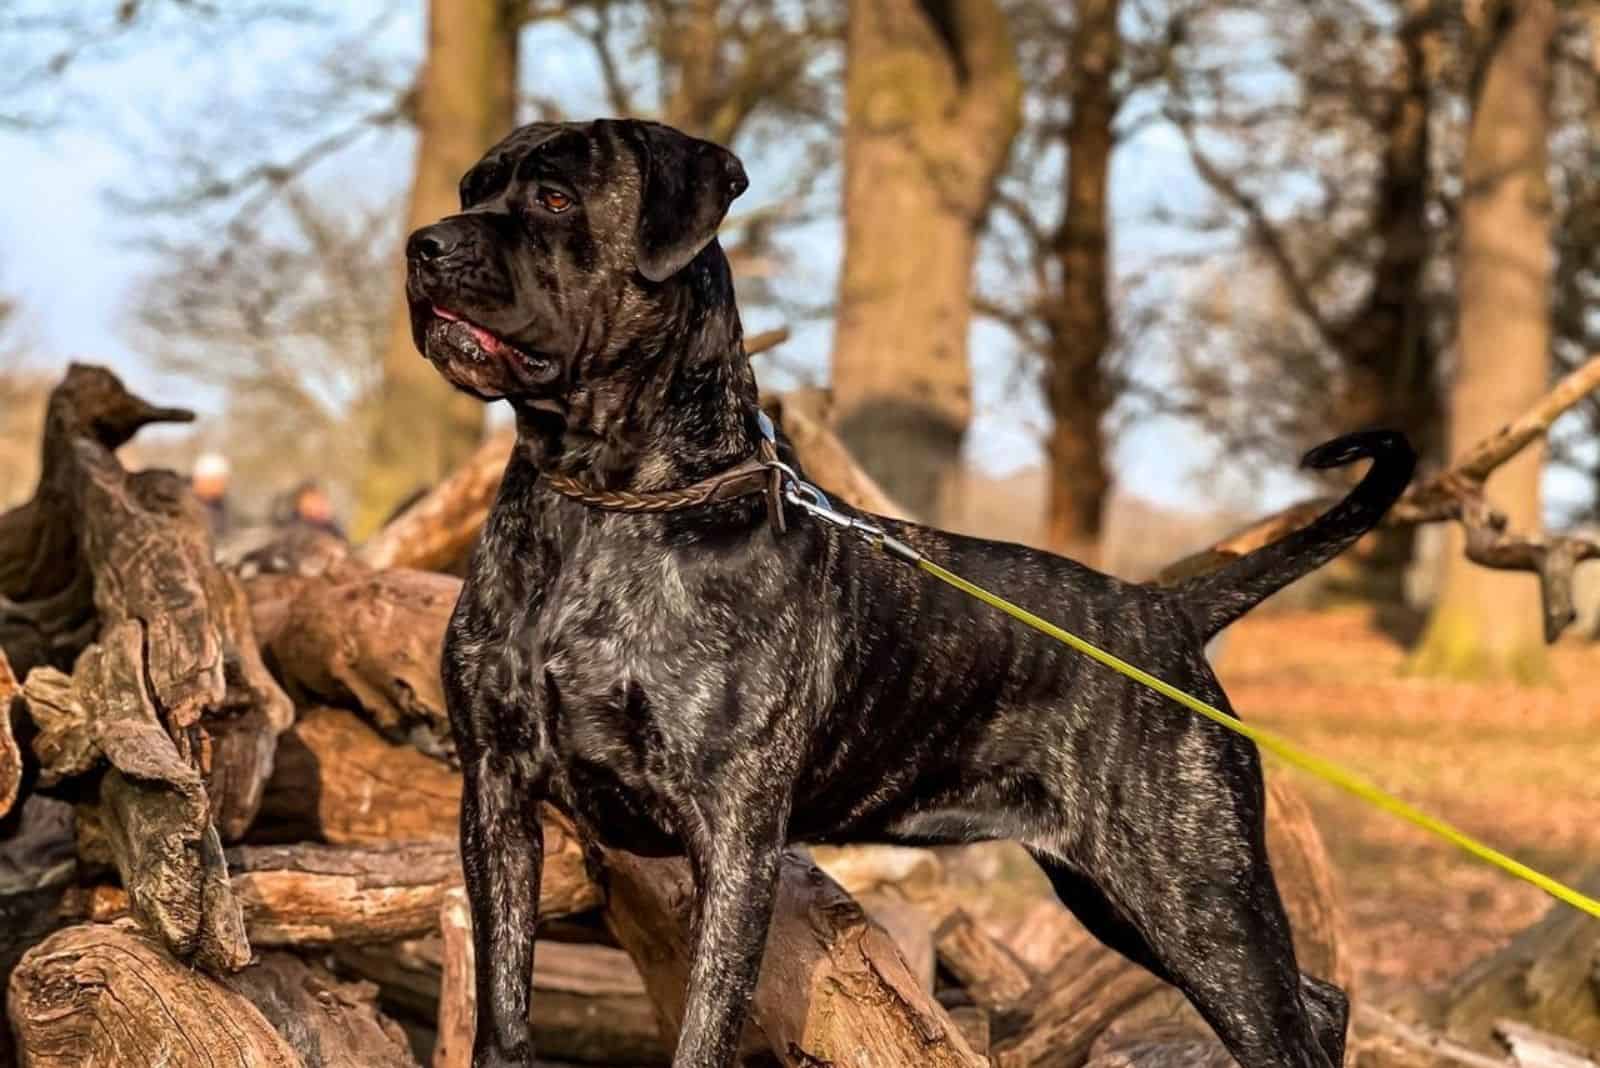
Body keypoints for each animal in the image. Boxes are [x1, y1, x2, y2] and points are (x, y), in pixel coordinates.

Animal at [403, 119, 1414, 1068]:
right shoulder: (497, 798)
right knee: (1318, 1001)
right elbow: (504, 1012)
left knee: (1288, 1018)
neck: (602, 503)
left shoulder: (732, 838)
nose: (423, 245)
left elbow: (704, 1029)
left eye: (555, 199)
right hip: (1121, 896)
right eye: (472, 187)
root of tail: (1166, 610)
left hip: (1194, 892)